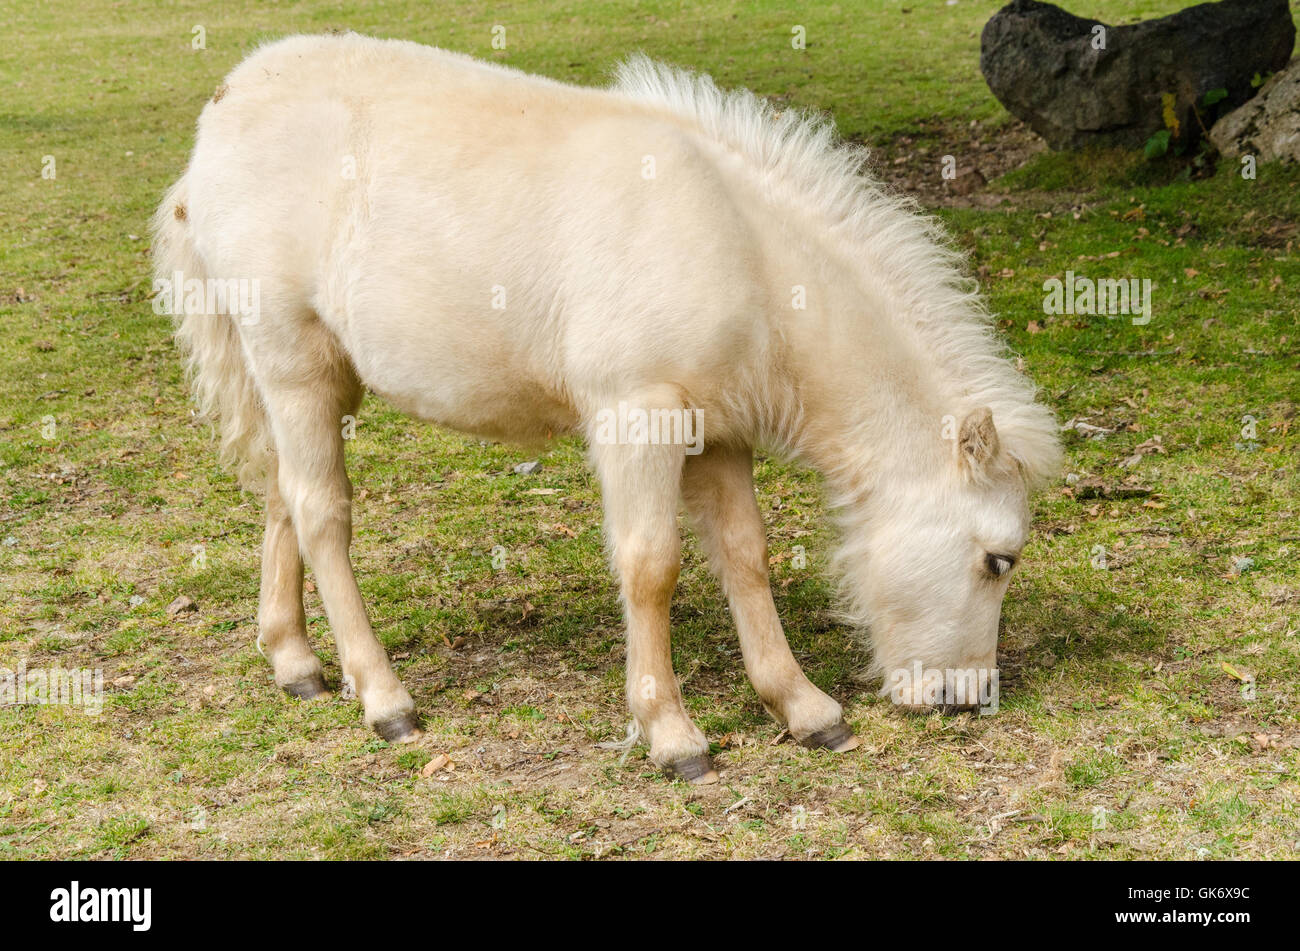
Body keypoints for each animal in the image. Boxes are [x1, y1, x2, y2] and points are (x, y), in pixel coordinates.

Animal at [152, 33, 1061, 783]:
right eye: (998, 560)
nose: (966, 696)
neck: (741, 250)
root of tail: (218, 117)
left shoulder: (718, 431)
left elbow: (745, 556)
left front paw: (804, 708)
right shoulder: (639, 415)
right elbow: (651, 564)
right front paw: (672, 734)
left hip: (319, 376)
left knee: (282, 492)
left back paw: (295, 661)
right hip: (290, 361)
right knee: (320, 512)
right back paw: (383, 697)